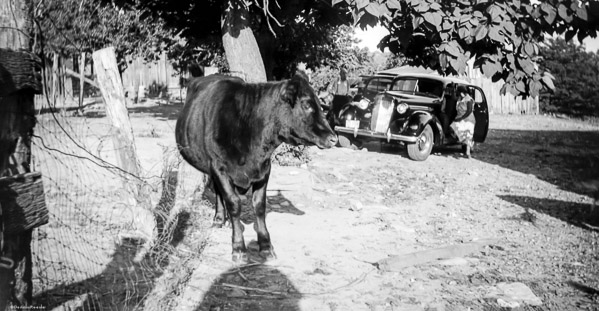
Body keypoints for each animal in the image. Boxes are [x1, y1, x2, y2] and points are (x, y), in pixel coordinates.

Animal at [176, 73, 340, 264]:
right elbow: (234, 204)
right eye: (306, 105)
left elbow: (260, 206)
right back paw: (219, 219)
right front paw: (239, 248)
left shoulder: (264, 170)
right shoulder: (219, 168)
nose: (333, 138)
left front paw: (266, 246)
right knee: (218, 191)